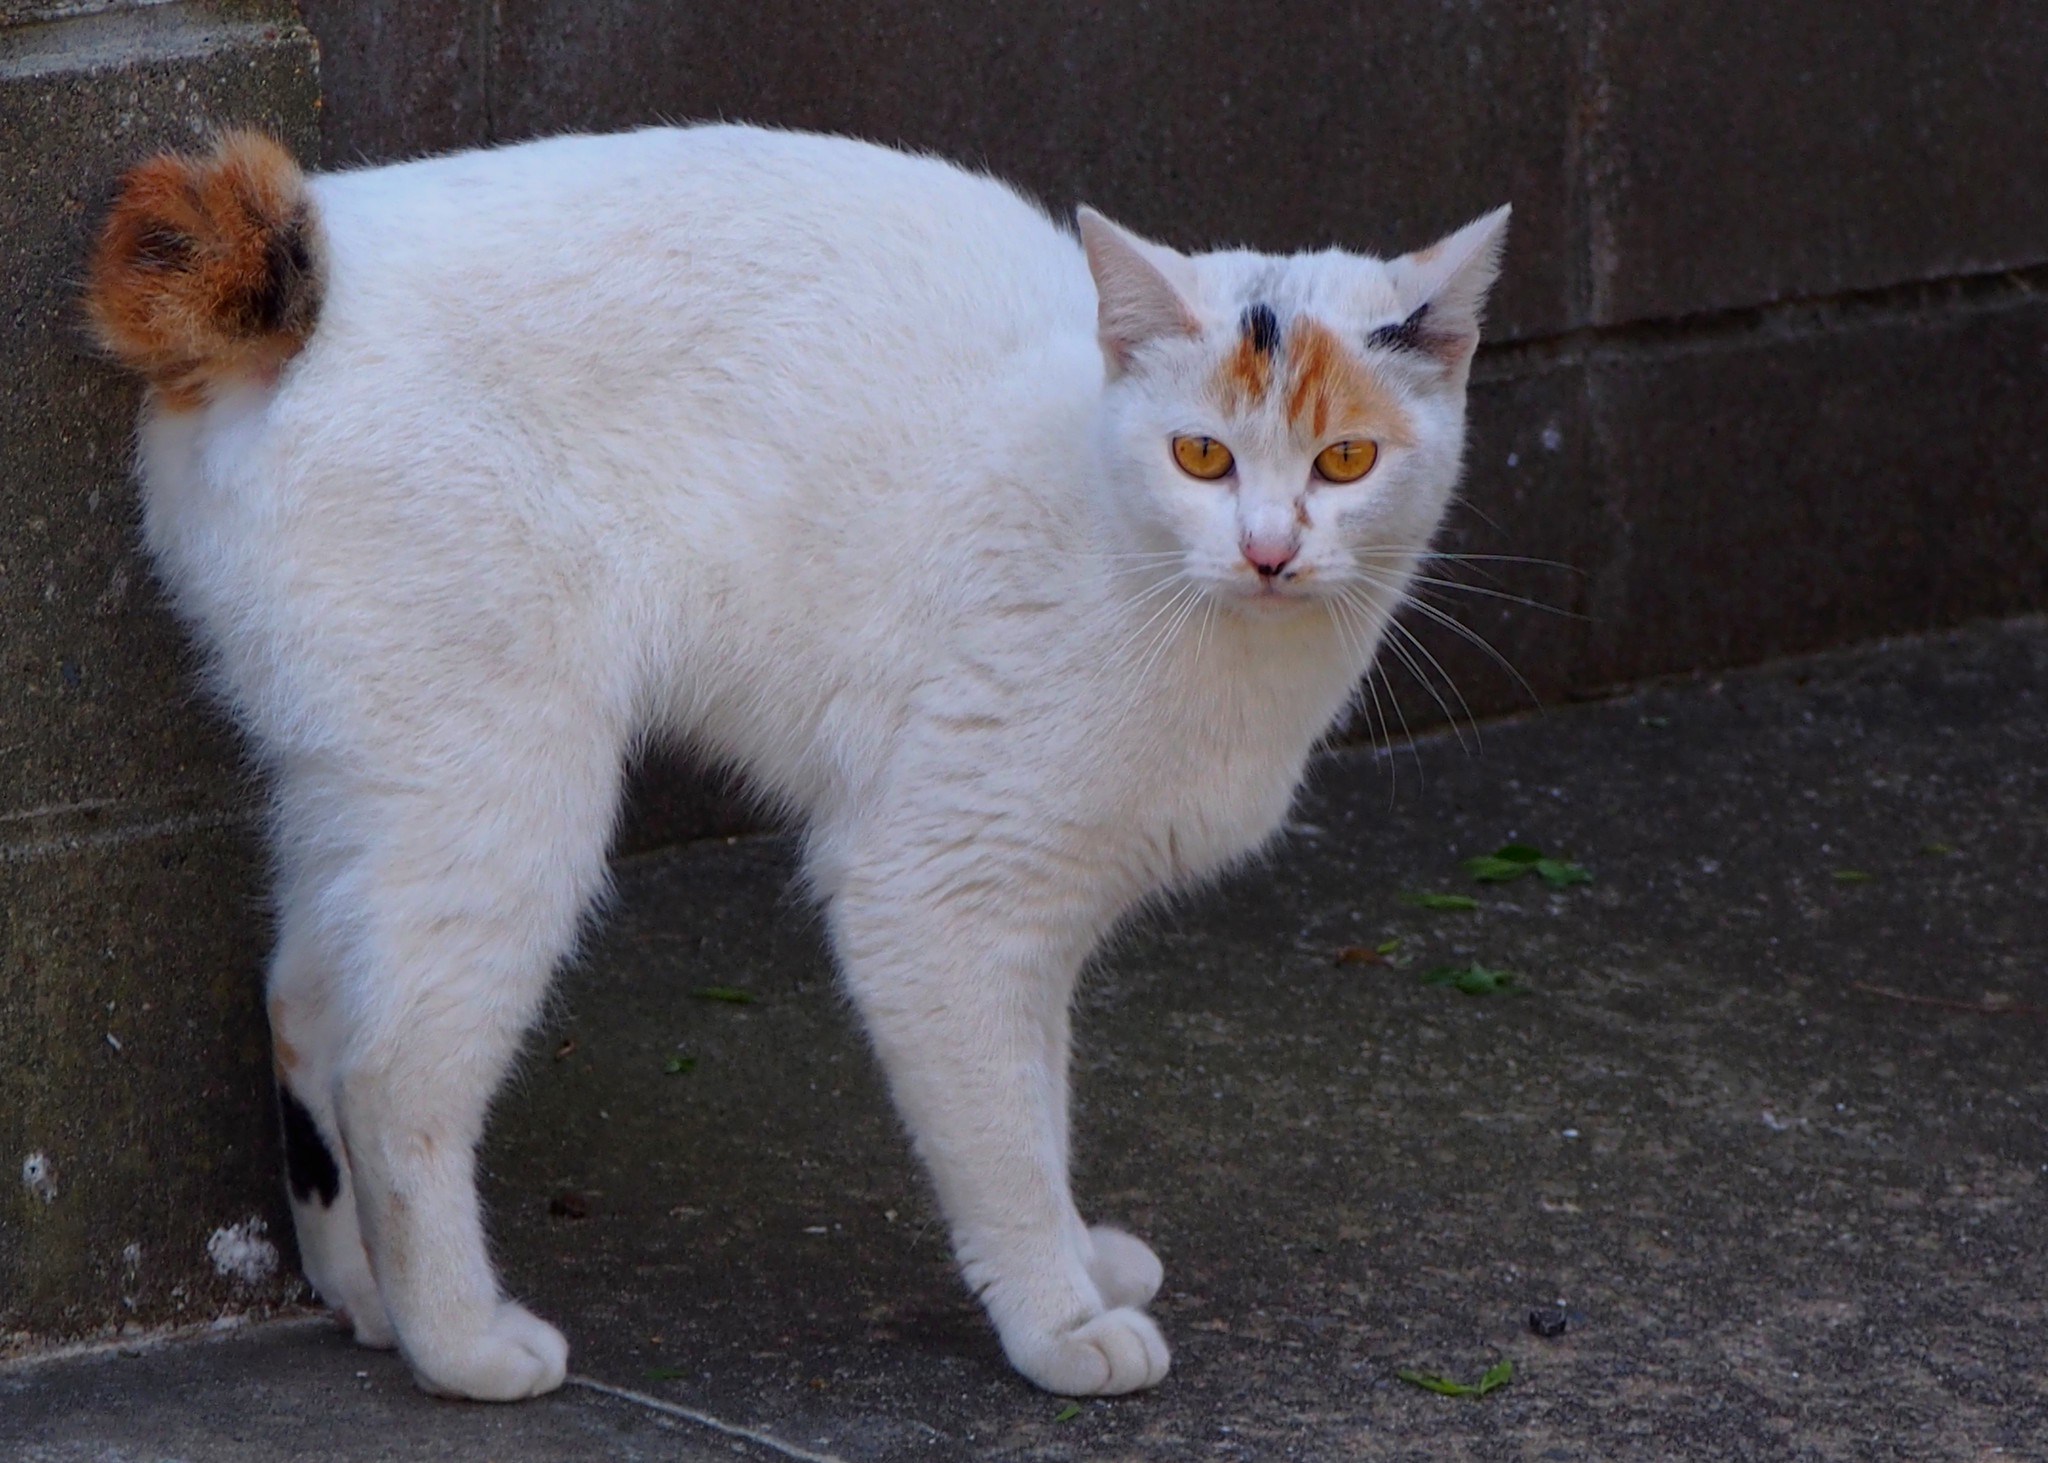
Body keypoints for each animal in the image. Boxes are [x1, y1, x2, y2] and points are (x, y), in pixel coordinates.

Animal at [83, 125, 1507, 1401]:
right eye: (1200, 455)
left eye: (1344, 460)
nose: (1270, 550)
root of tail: (315, 272)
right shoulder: (932, 892)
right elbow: (999, 1132)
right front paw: (1055, 1316)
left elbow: (1038, 1094)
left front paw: (1076, 1258)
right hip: (501, 789)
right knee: (391, 1074)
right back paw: (461, 1343)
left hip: (367, 776)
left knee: (303, 1001)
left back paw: (363, 1294)